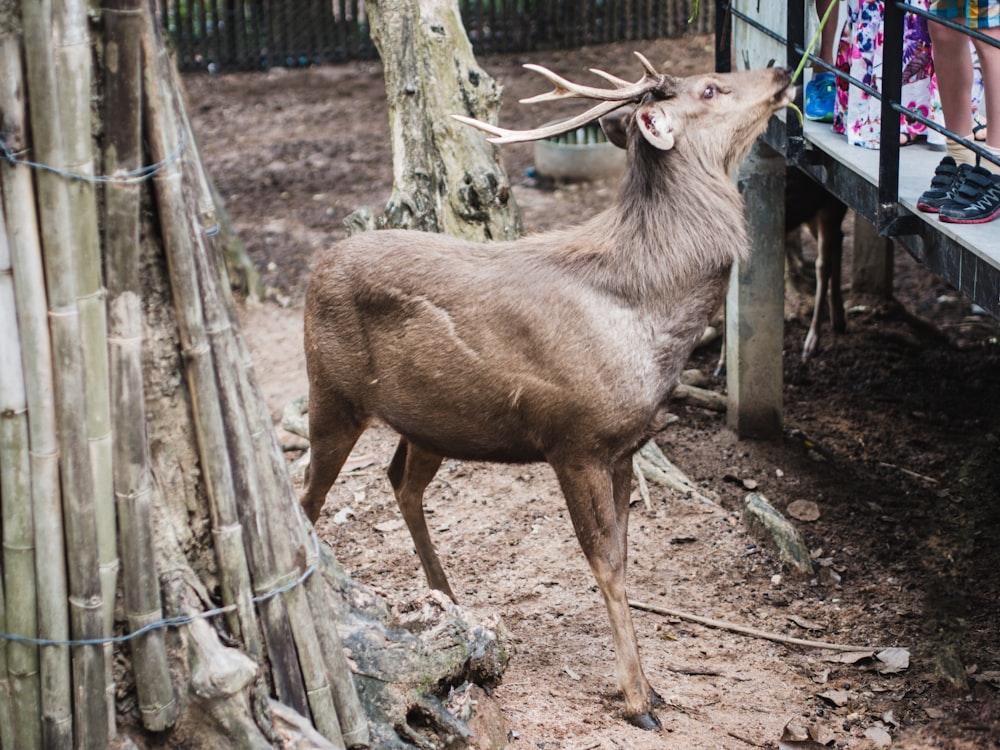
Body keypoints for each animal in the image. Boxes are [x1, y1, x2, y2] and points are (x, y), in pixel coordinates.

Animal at [300, 54, 792, 736]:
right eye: (711, 87)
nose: (778, 70)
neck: (650, 317)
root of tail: (313, 270)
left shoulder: (625, 446)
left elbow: (627, 554)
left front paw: (654, 689)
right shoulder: (575, 440)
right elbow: (605, 562)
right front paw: (638, 702)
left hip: (431, 422)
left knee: (400, 479)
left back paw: (448, 599)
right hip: (331, 392)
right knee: (307, 496)